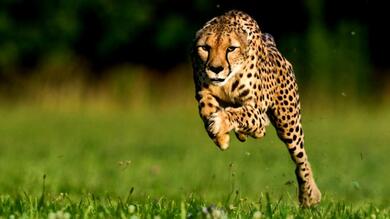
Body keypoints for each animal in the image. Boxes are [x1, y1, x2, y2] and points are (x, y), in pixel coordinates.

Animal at [190, 10, 322, 207]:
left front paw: (220, 123)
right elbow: (206, 108)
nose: (216, 68)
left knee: (301, 159)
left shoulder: (257, 111)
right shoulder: (203, 92)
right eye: (205, 48)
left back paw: (309, 195)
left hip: (288, 124)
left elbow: (241, 114)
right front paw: (221, 137)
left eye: (231, 49)